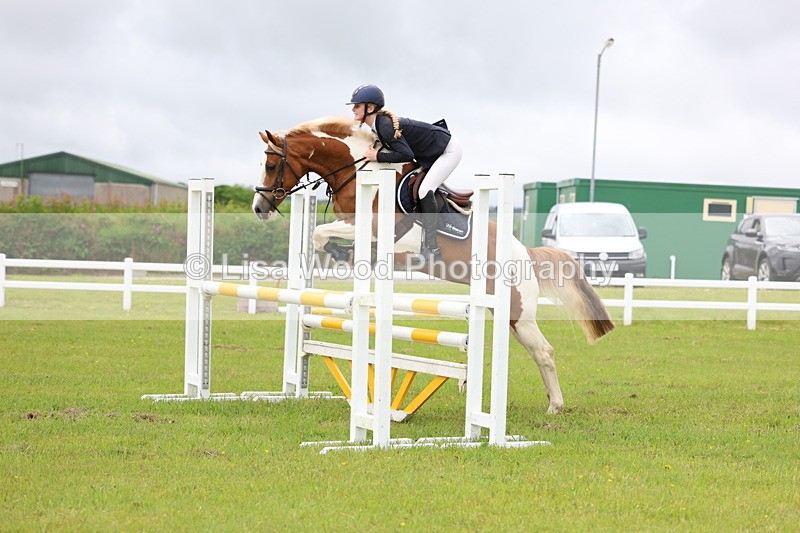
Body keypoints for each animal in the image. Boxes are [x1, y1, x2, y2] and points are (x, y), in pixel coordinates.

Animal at [252, 117, 615, 414]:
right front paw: (344, 255)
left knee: (544, 351)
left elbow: (318, 234)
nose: (259, 208)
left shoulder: (370, 227)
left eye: (270, 164)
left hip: (518, 312)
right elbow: (322, 237)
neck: (357, 172)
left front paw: (341, 253)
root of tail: (525, 251)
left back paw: (555, 406)